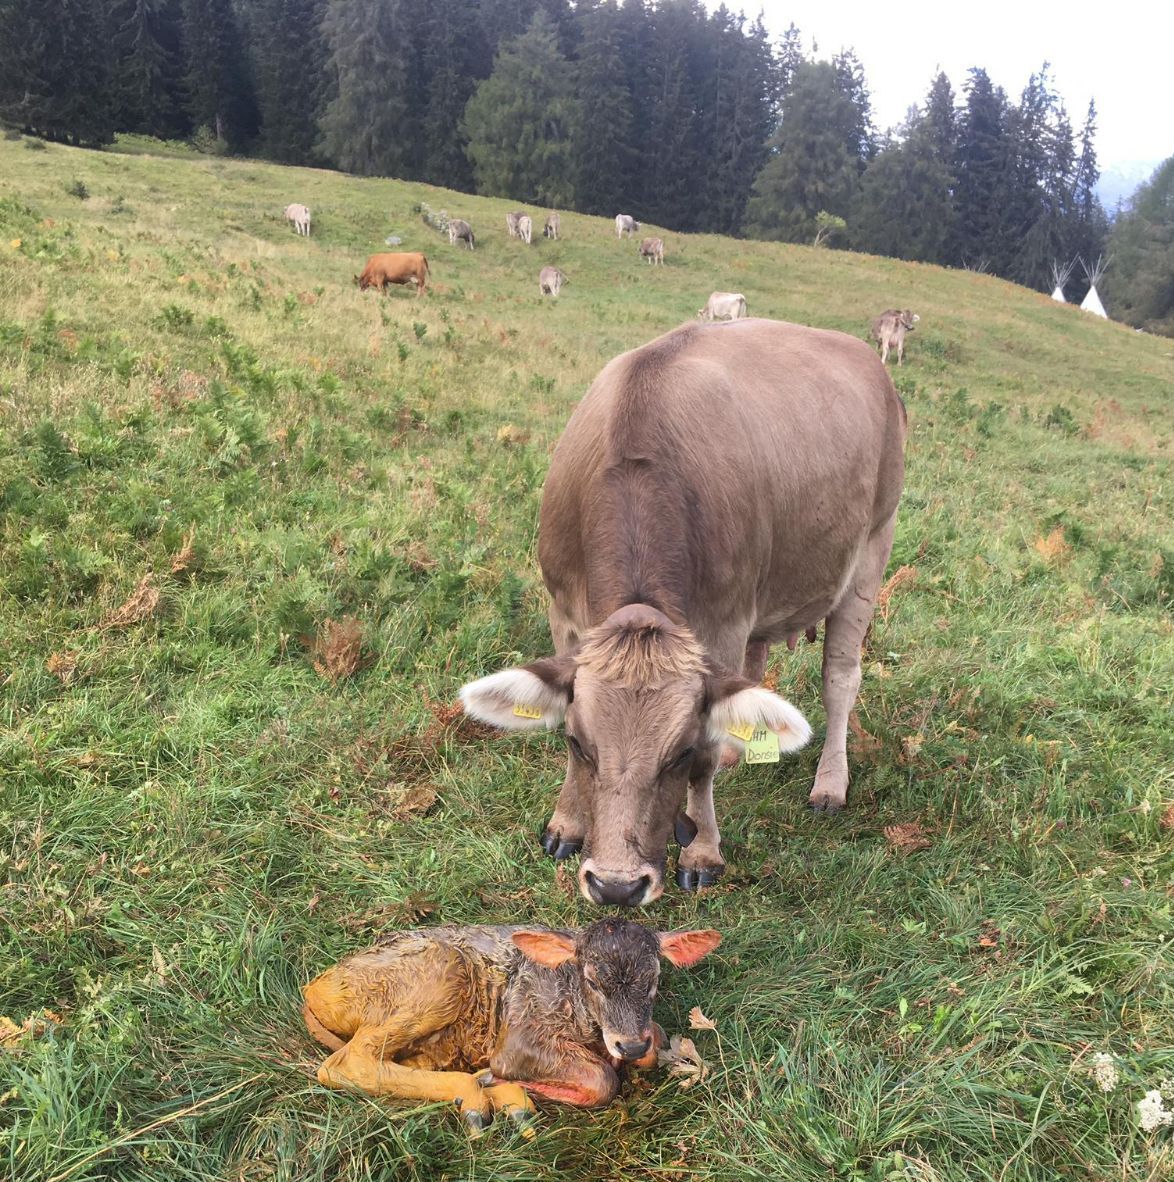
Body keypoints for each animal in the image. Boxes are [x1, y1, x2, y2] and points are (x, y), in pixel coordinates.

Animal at [303, 920, 721, 1135]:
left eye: (654, 979)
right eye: (592, 980)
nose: (630, 1045)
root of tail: (314, 987)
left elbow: (656, 1042)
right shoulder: (518, 1039)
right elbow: (603, 1079)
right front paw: (503, 1079)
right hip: (441, 973)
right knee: (346, 1062)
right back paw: (480, 1095)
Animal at [461, 319, 906, 907]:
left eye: (679, 751)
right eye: (579, 742)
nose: (617, 886)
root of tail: (867, 357)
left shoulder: (723, 625)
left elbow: (707, 762)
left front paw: (702, 850)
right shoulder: (565, 613)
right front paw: (566, 822)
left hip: (872, 549)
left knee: (840, 679)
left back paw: (829, 782)